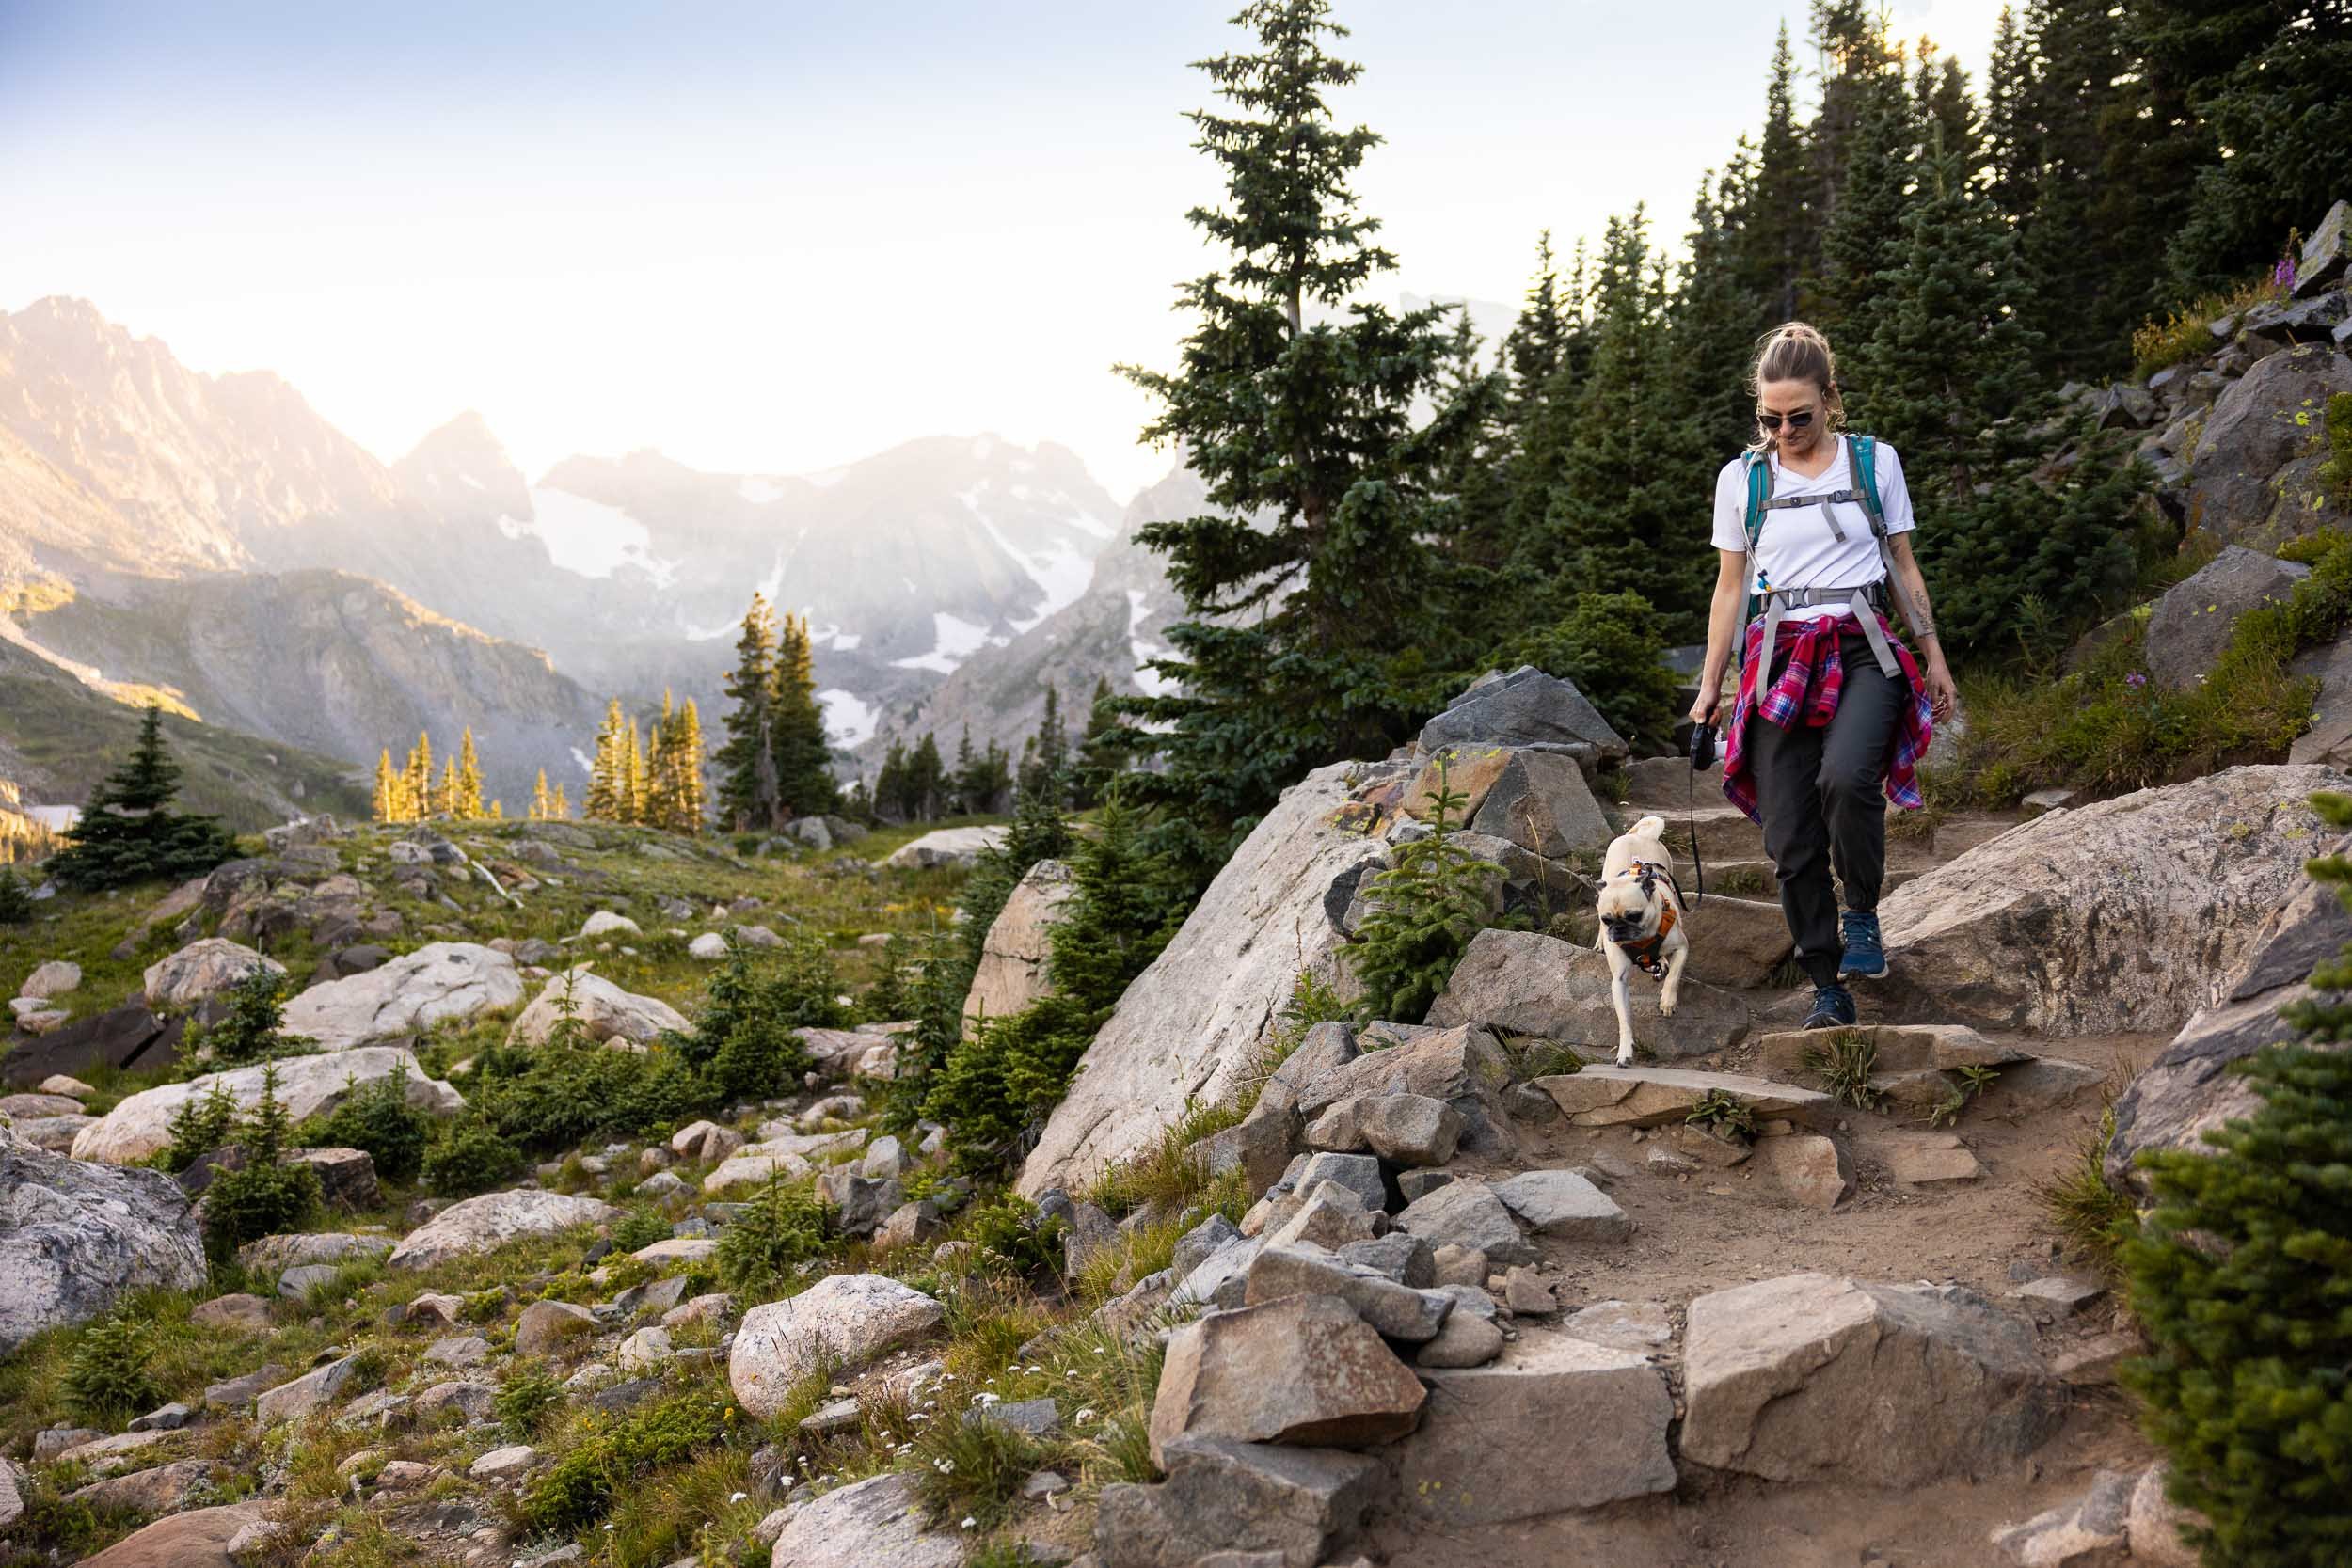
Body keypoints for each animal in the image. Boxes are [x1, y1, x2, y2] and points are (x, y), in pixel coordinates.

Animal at [1599, 822, 1693, 1067]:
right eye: (1607, 920)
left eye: (1634, 916)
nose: (1618, 928)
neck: (1642, 940)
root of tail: (1642, 836)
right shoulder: (1619, 980)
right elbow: (1624, 1020)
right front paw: (1625, 1049)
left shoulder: (1681, 948)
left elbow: (1674, 977)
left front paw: (1668, 1001)